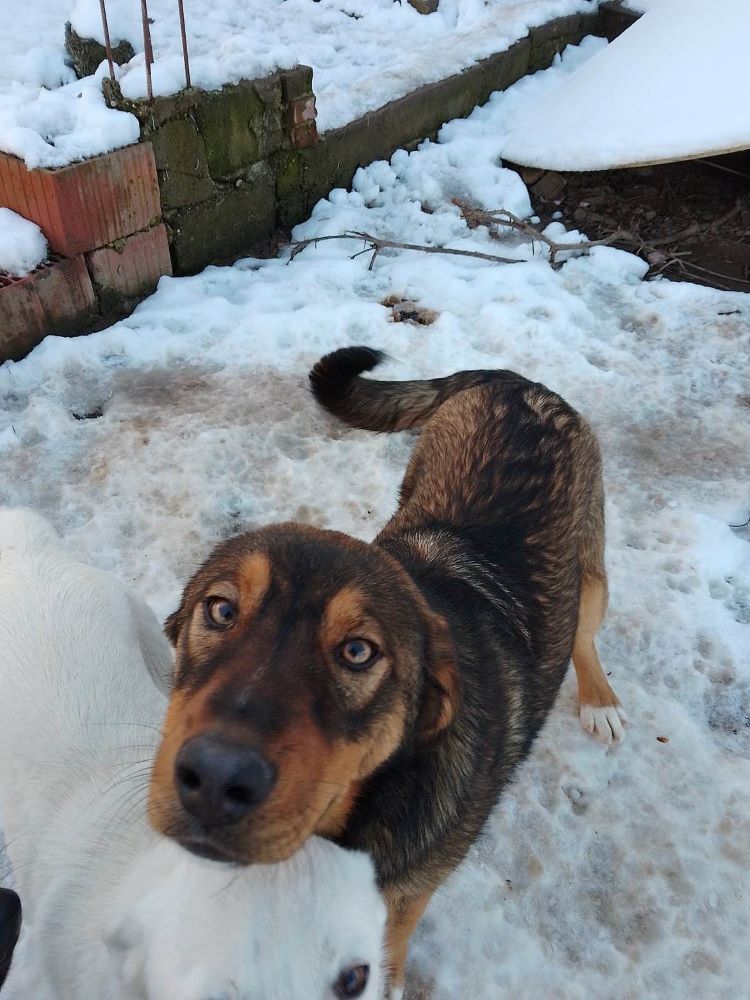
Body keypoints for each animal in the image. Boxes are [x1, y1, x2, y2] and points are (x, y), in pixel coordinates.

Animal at [150, 346, 624, 992]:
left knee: (584, 632)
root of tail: (516, 381)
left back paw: (601, 700)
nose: (215, 780)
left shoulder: (407, 896)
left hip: (590, 572)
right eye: (220, 610)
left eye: (359, 651)